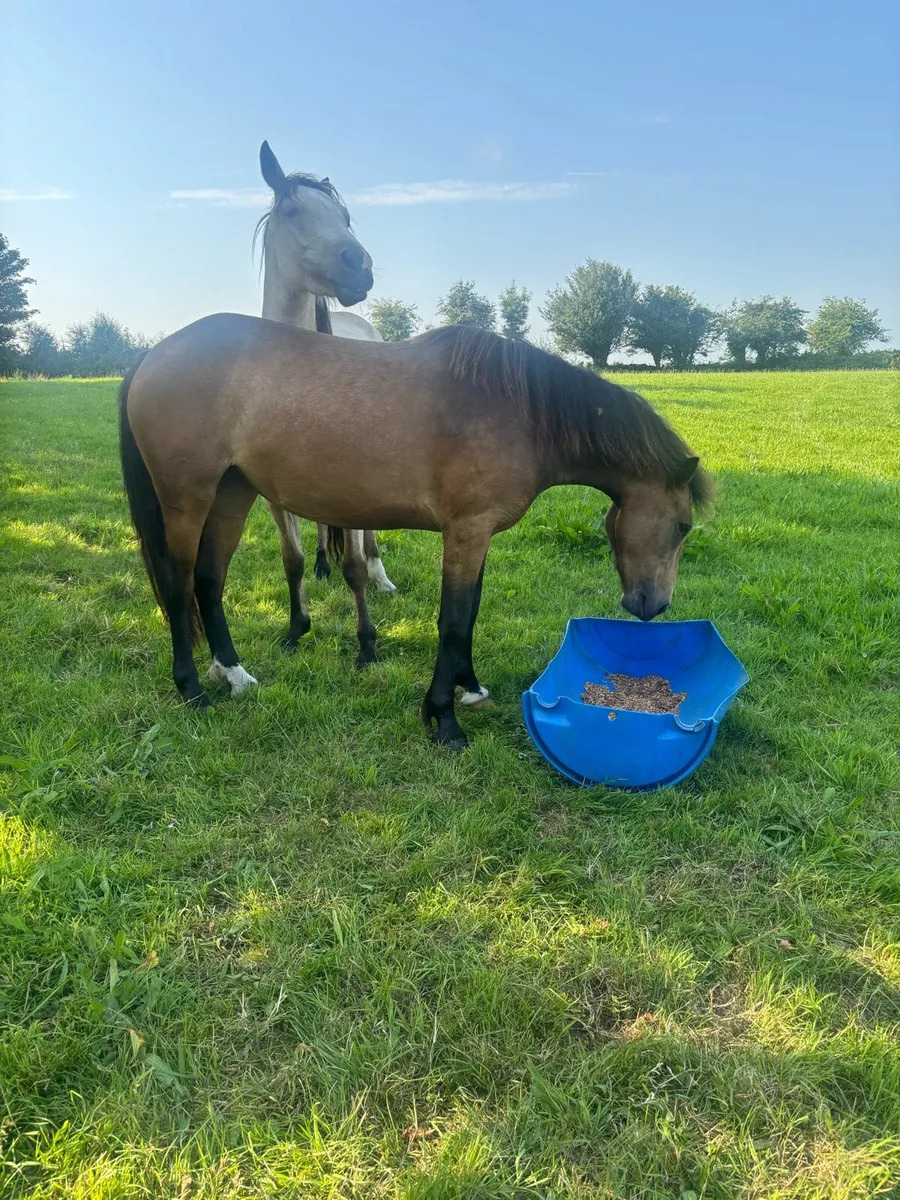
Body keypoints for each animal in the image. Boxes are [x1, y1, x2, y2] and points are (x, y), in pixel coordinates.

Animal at [119, 314, 712, 750]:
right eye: (683, 524)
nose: (653, 606)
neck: (519, 412)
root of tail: (153, 355)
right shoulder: (466, 531)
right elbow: (451, 619)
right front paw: (443, 719)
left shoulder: (478, 535)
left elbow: (469, 613)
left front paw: (468, 688)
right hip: (188, 499)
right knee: (178, 586)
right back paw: (191, 689)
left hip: (231, 495)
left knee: (209, 581)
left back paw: (234, 674)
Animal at [255, 141, 396, 661]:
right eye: (293, 211)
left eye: (346, 216)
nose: (361, 264)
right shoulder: (274, 493)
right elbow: (290, 560)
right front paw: (296, 628)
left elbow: (353, 566)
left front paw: (368, 644)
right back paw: (322, 564)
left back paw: (381, 576)